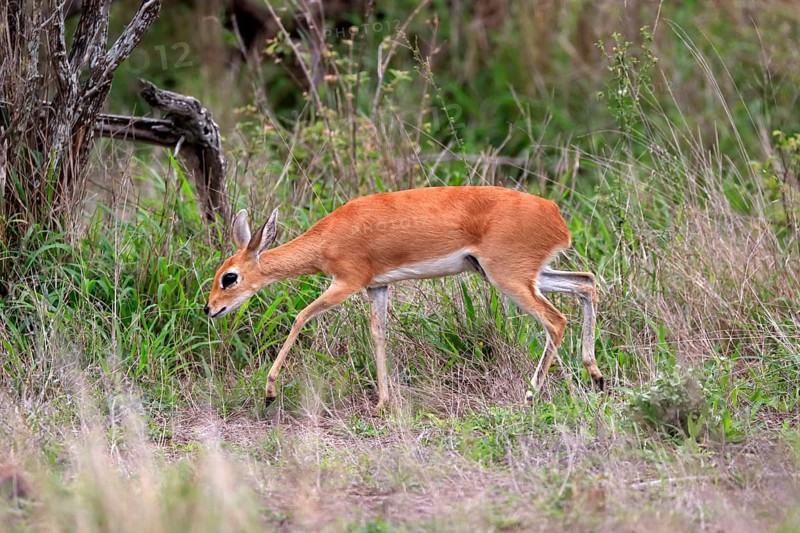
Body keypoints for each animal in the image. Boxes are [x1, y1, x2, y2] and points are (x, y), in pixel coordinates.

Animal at [205, 186, 603, 411]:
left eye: (229, 276)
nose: (210, 309)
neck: (328, 239)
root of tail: (555, 216)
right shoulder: (376, 287)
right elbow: (379, 334)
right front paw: (383, 403)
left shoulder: (347, 282)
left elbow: (301, 316)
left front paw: (269, 392)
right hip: (517, 275)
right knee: (587, 283)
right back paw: (595, 375)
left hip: (509, 278)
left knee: (556, 320)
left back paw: (531, 396)